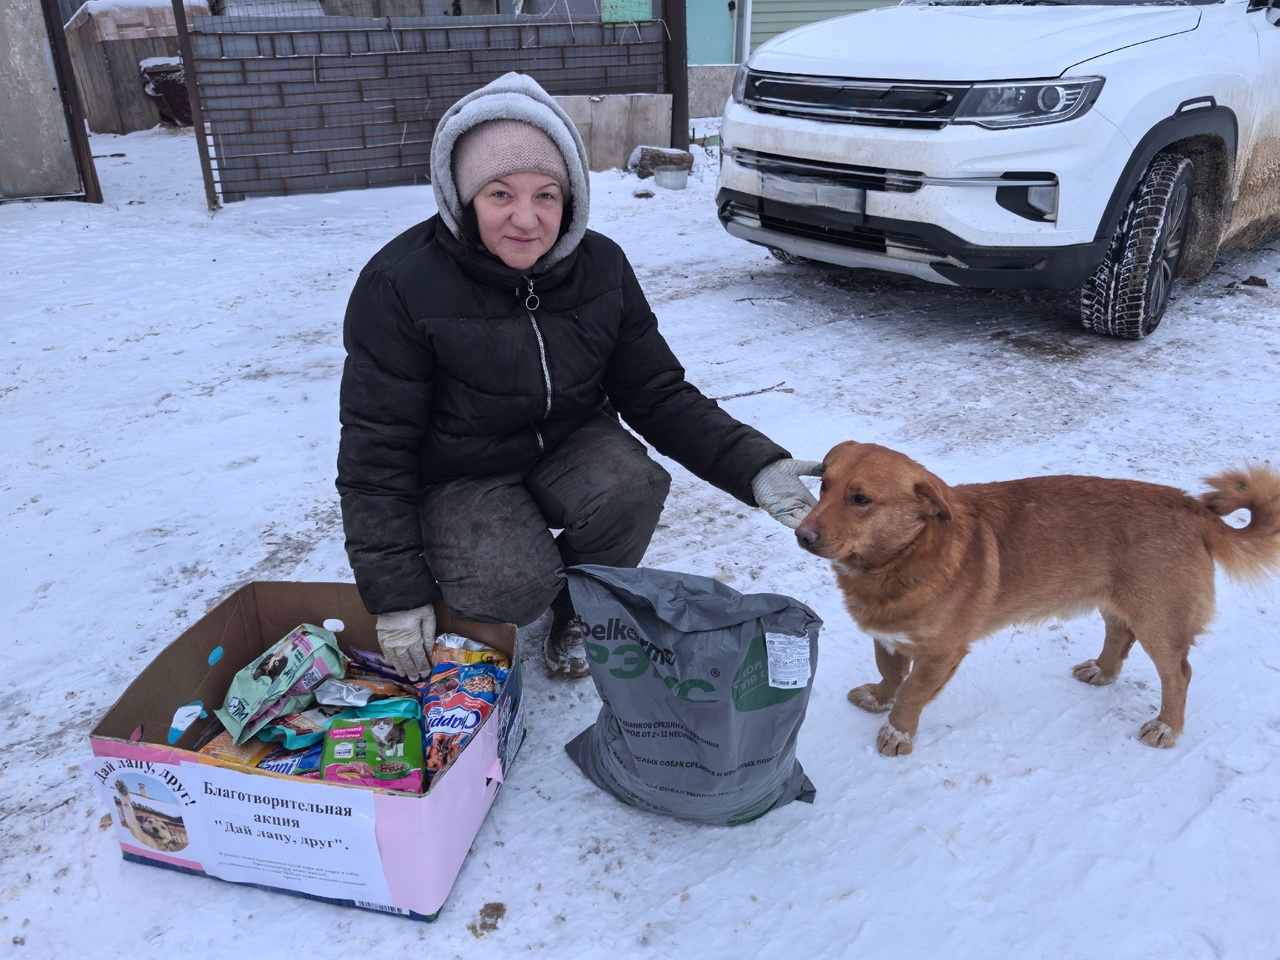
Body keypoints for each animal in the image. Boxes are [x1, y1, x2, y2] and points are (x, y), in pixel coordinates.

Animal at [798, 442, 1280, 757]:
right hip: (1118, 600)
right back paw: (1103, 670)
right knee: (1118, 635)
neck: (904, 556)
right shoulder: (888, 635)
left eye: (861, 499)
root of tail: (1193, 507)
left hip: (1159, 620)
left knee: (1179, 674)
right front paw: (880, 696)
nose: (801, 535)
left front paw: (897, 732)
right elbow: (890, 673)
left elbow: (912, 693)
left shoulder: (940, 654)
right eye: (824, 486)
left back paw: (1167, 727)